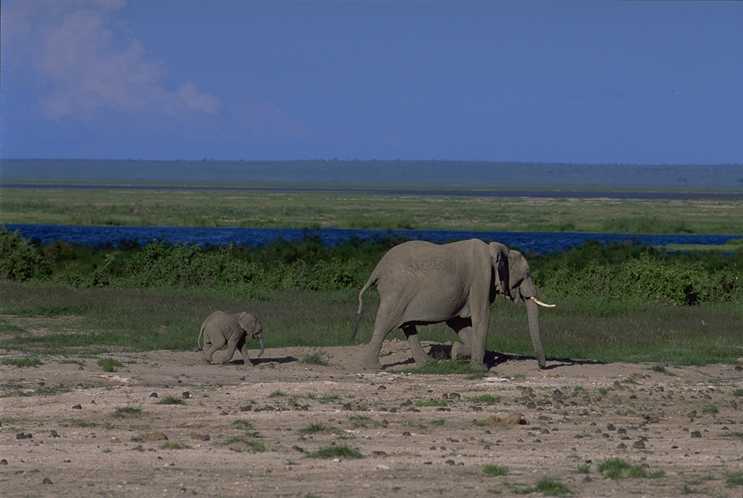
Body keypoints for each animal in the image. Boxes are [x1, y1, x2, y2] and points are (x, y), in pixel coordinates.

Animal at [352, 239, 555, 371]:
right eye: (526, 274)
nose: (542, 366)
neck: (495, 249)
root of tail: (377, 269)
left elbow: (459, 323)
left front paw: (458, 353)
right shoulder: (481, 277)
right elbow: (481, 317)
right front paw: (478, 367)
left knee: (407, 325)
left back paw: (428, 363)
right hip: (397, 290)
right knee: (386, 323)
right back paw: (372, 367)